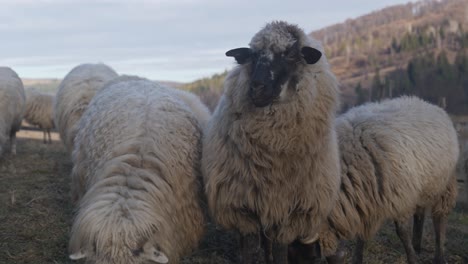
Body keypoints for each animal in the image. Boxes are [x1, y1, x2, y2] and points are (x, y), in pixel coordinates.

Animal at [201, 21, 340, 264]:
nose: (256, 87)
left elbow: (280, 250)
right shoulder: (241, 206)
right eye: (253, 55)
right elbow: (249, 248)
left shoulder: (289, 211)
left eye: (290, 54)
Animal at [290, 96, 458, 264]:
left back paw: (439, 256)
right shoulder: (365, 199)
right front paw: (357, 259)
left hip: (445, 185)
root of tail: (428, 103)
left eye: (310, 257)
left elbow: (402, 232)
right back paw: (417, 245)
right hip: (423, 187)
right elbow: (362, 234)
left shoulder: (401, 199)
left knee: (440, 219)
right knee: (420, 213)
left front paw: (412, 259)